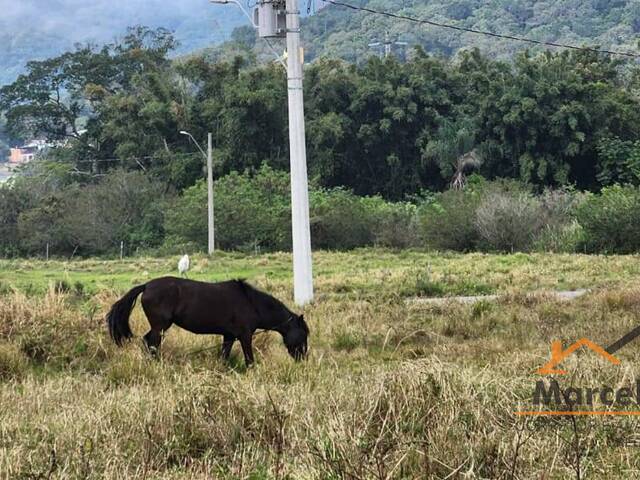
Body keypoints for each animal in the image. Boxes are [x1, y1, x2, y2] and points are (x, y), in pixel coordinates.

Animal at [105, 276, 310, 366]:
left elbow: (224, 357)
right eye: (303, 334)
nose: (303, 357)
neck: (251, 303)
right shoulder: (245, 336)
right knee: (151, 343)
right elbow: (250, 360)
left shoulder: (229, 336)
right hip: (160, 326)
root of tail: (147, 285)